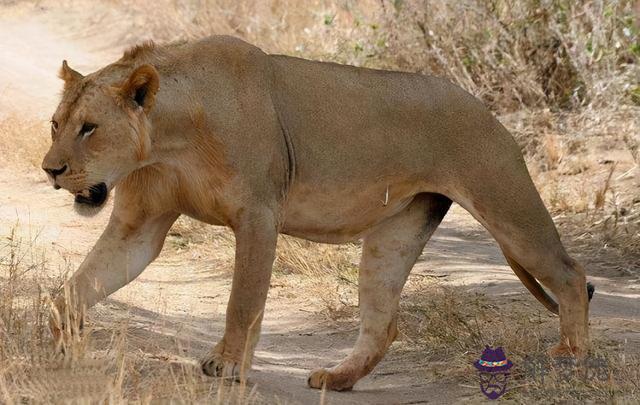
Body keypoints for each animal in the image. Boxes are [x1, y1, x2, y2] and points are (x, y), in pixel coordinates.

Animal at [41, 36, 596, 390]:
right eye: (56, 125)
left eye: (90, 128)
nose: (50, 170)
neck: (167, 140)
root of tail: (486, 108)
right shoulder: (140, 226)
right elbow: (78, 287)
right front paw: (57, 341)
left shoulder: (259, 215)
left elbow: (243, 302)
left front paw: (228, 366)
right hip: (394, 234)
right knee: (382, 324)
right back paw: (337, 379)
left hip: (506, 203)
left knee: (571, 274)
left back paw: (570, 358)